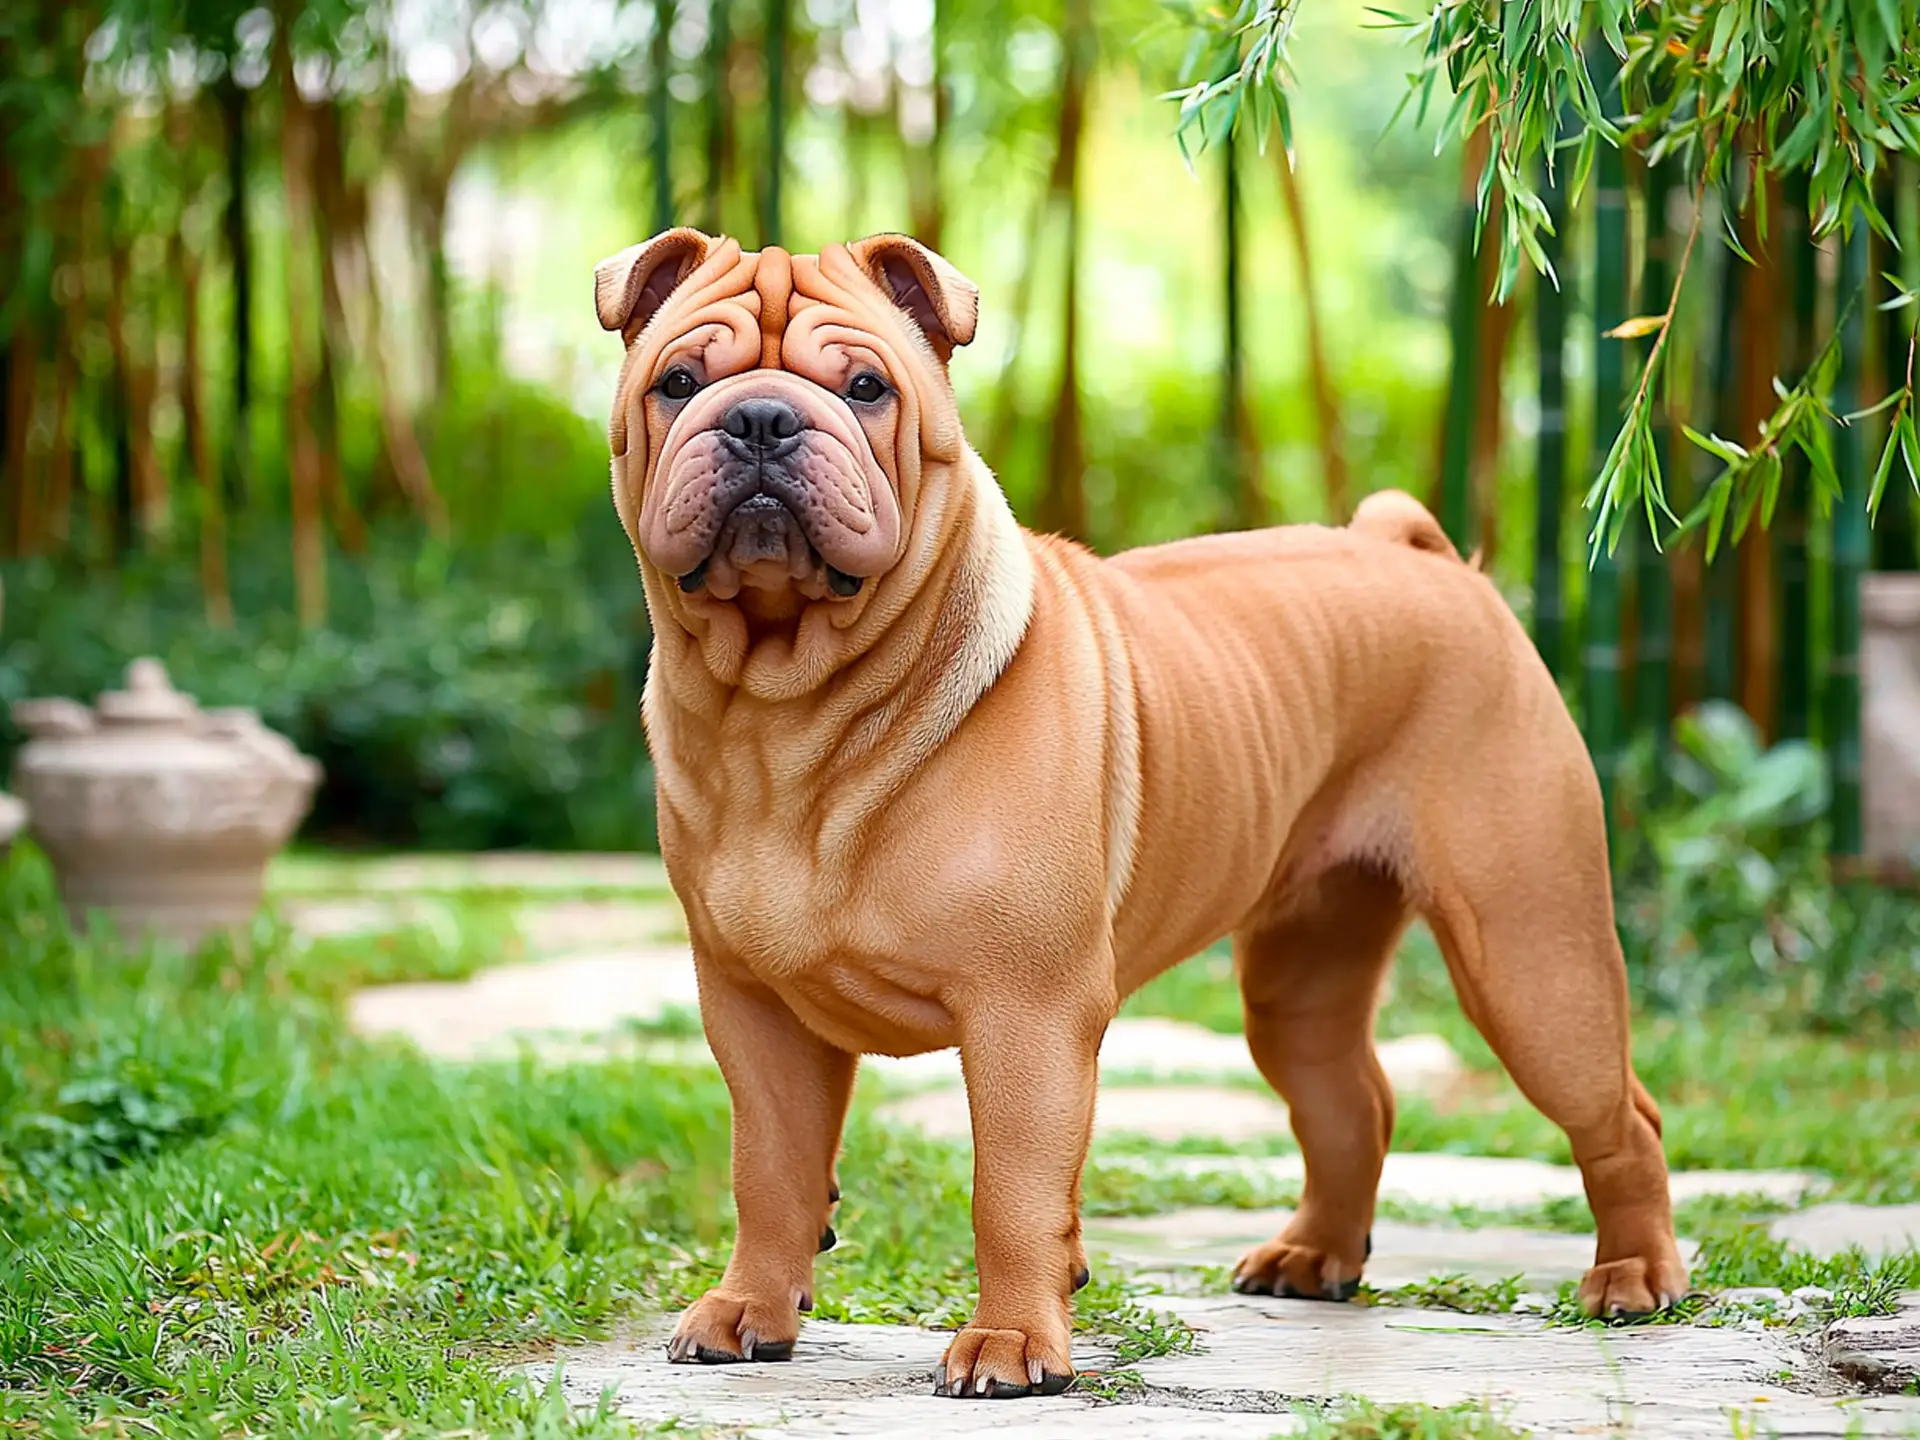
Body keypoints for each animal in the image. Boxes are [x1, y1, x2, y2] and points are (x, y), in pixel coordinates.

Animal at [591, 231, 1689, 1405]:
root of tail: (1421, 555)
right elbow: (770, 1168)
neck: (789, 712)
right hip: (1305, 974)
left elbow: (1011, 1188)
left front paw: (1011, 1342)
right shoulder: (752, 1010)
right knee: (1351, 1099)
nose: (759, 418)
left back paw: (1635, 1276)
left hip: (1530, 953)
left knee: (1618, 1115)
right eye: (677, 382)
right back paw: (1314, 1257)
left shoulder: (1025, 1014)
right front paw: (749, 1308)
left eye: (866, 388)